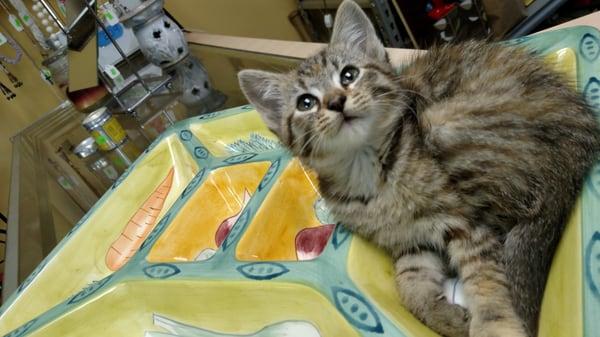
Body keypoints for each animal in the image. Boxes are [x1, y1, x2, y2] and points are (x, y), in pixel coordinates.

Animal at [238, 1, 600, 334]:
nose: (336, 102)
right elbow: (410, 285)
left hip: (444, 121)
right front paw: (442, 316)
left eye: (349, 74)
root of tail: (581, 131)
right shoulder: (411, 241)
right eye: (306, 103)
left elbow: (486, 276)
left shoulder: (467, 222)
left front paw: (494, 324)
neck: (370, 171)